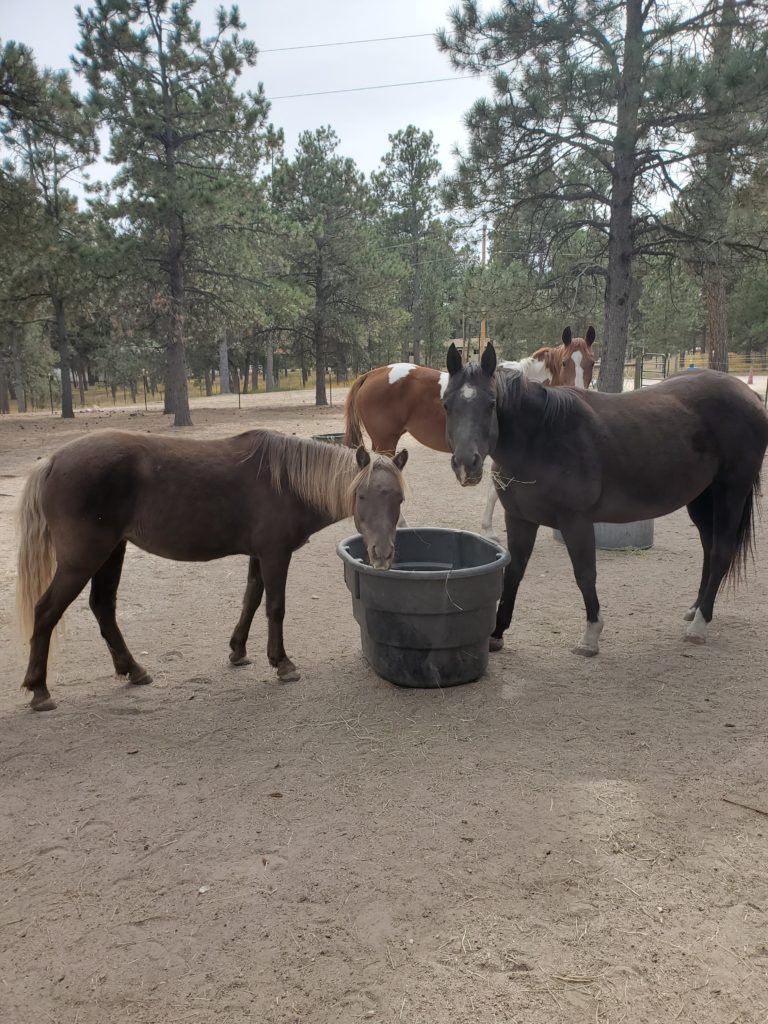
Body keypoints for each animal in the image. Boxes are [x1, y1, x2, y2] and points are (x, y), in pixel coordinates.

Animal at [16, 428, 409, 708]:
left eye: (399, 498)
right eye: (361, 495)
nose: (382, 553)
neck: (285, 482)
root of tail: (52, 461)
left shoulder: (259, 555)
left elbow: (251, 600)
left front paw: (238, 651)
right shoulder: (275, 555)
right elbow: (275, 607)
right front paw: (281, 663)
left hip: (111, 551)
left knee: (103, 606)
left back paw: (133, 670)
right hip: (83, 558)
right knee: (47, 610)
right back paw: (39, 689)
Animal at [444, 344, 768, 655]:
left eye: (491, 404)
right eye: (447, 404)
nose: (466, 464)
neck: (542, 437)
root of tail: (749, 395)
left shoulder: (575, 521)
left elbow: (585, 574)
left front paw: (590, 636)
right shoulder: (520, 518)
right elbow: (513, 572)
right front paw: (497, 634)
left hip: (730, 493)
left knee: (721, 552)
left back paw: (700, 624)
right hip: (702, 498)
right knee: (708, 548)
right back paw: (696, 609)